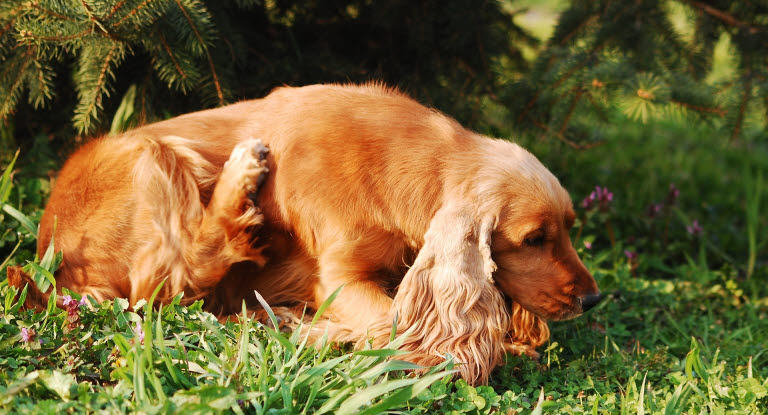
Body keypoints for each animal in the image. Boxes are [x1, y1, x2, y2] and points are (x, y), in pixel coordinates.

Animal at [10, 83, 600, 386]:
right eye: (534, 238)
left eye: (569, 229)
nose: (593, 299)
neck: (413, 165)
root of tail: (52, 259)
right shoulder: (338, 278)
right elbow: (396, 329)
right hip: (153, 154)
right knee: (176, 277)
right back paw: (243, 175)